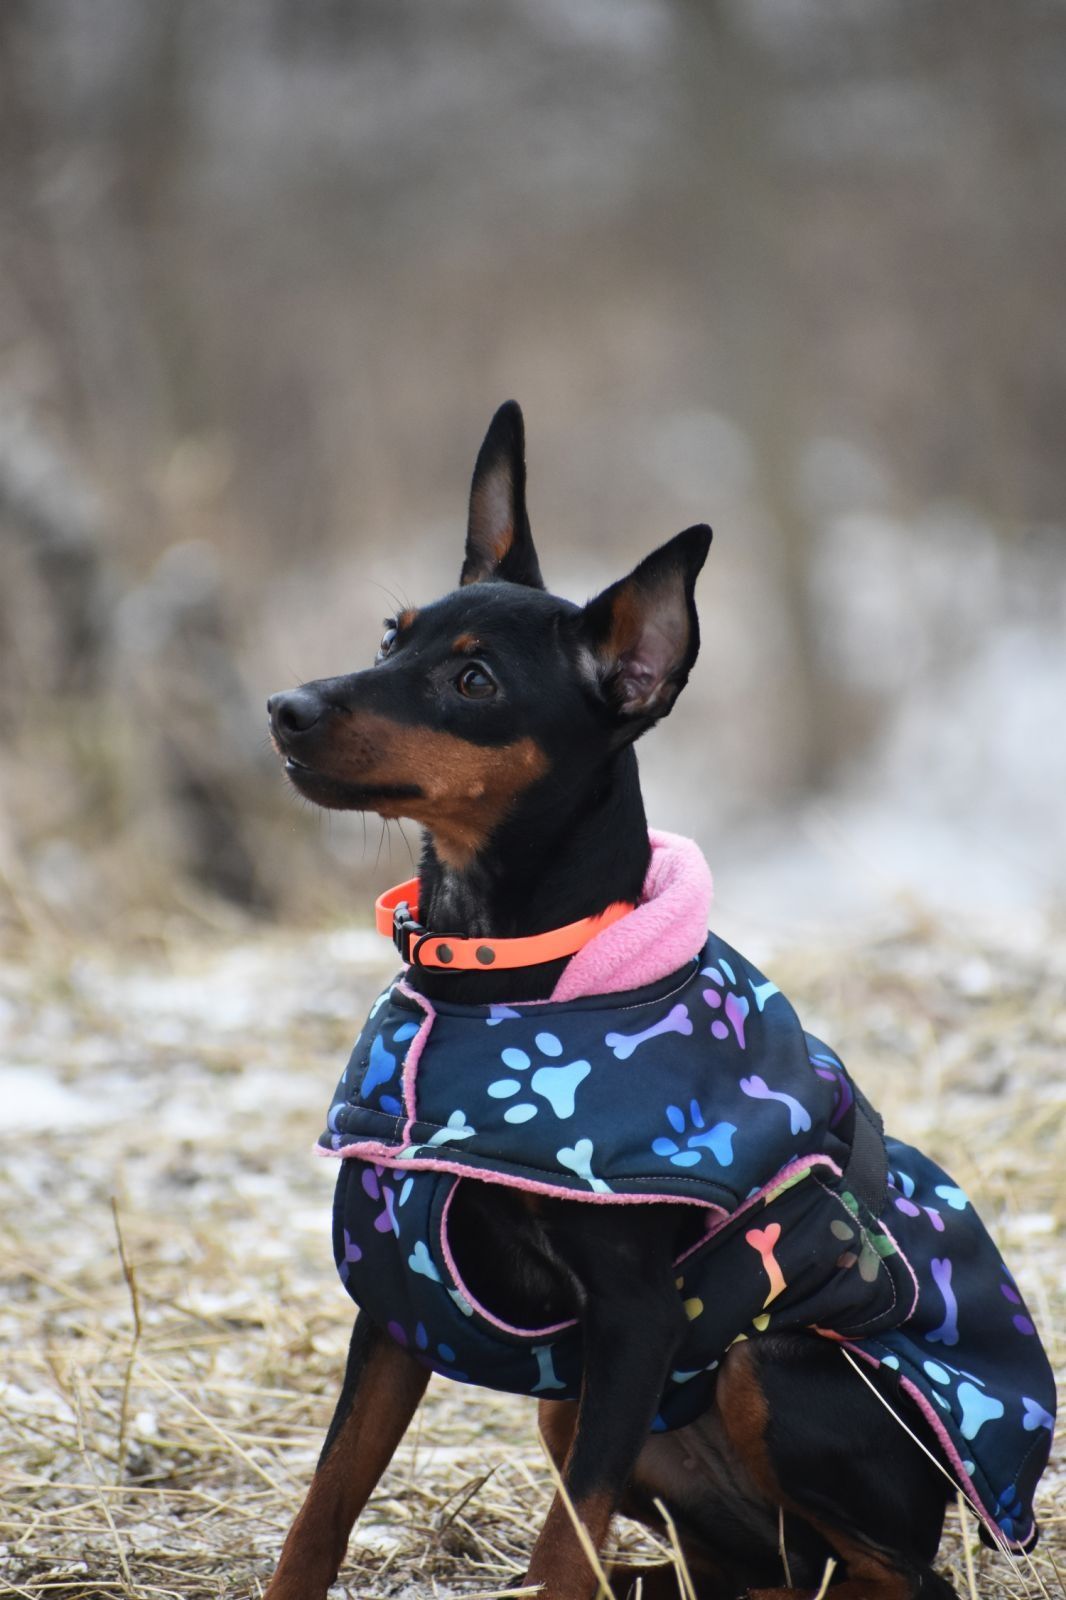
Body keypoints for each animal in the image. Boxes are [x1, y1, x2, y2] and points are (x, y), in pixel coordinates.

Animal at [264, 406, 1043, 1600]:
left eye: (475, 681)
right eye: (390, 634)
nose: (285, 707)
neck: (499, 971)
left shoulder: (634, 1321)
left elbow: (563, 1539)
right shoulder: (398, 1303)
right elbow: (324, 1503)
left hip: (769, 1362)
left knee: (895, 1574)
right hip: (580, 1411)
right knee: (759, 1571)